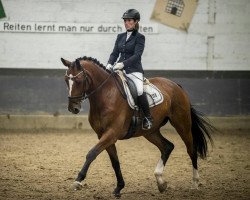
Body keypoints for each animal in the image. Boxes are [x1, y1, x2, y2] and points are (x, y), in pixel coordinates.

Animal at [61, 55, 215, 197]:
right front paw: (119, 188)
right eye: (66, 80)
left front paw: (78, 180)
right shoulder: (104, 135)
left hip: (182, 123)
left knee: (191, 149)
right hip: (150, 132)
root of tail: (176, 85)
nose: (73, 108)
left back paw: (195, 183)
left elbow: (91, 153)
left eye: (78, 81)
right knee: (167, 146)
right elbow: (115, 162)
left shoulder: (111, 133)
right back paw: (161, 182)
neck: (105, 95)